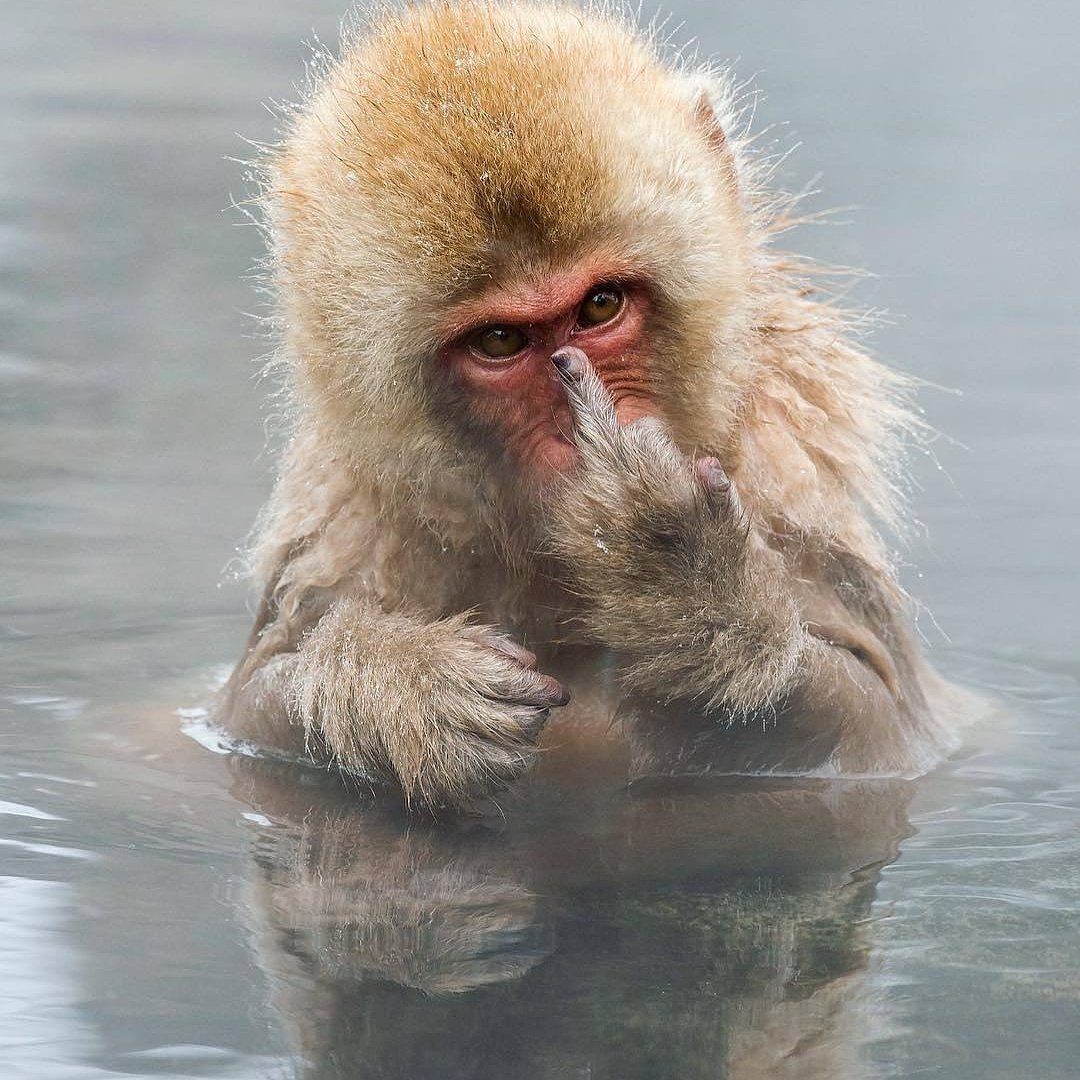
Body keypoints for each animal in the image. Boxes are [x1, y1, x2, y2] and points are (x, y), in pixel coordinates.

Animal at [221, 0, 964, 809]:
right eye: (500, 341)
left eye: (601, 305)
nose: (579, 437)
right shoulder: (348, 525)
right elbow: (244, 708)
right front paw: (399, 683)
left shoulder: (788, 478)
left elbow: (884, 725)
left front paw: (678, 571)